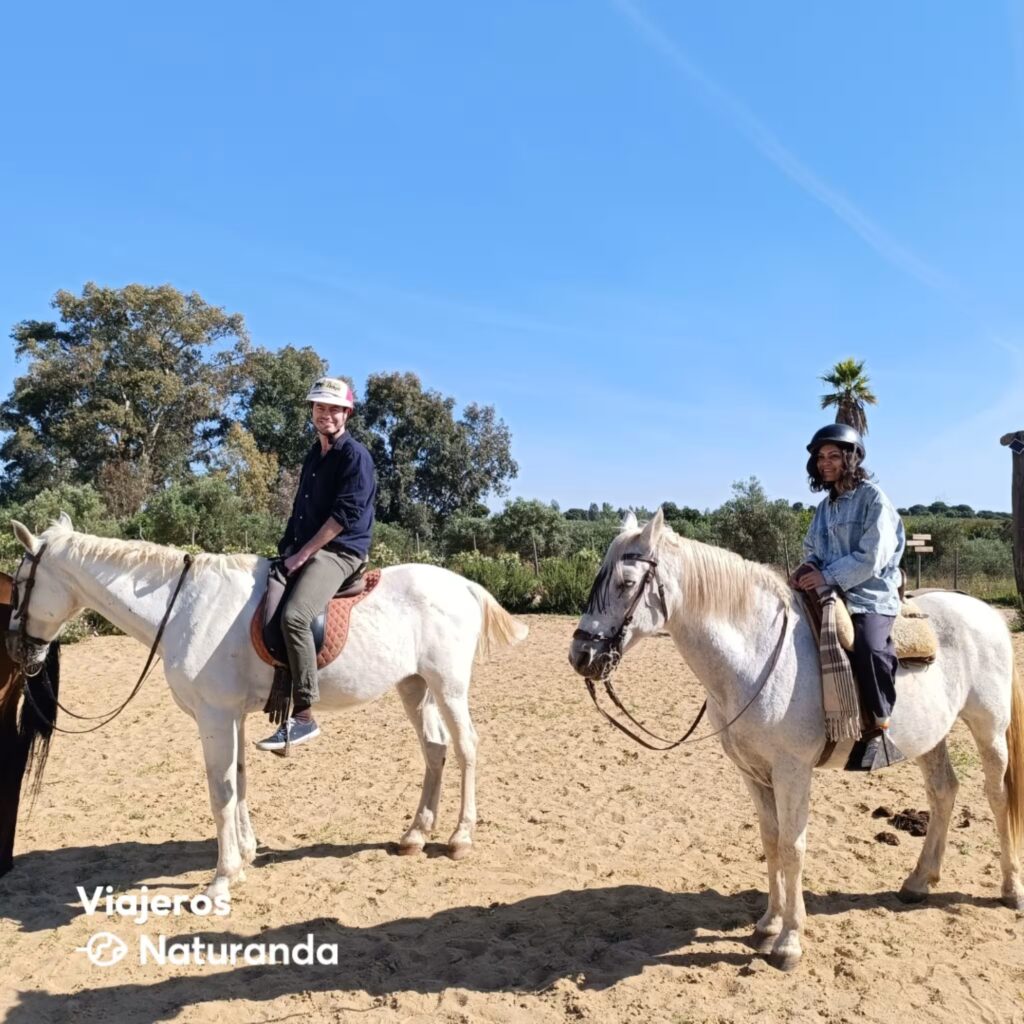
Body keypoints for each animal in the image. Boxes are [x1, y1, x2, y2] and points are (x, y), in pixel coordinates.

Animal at [4, 516, 524, 901]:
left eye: (21, 581)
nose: (16, 649)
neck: (184, 606)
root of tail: (463, 585)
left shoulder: (214, 716)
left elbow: (220, 791)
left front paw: (220, 880)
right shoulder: (231, 715)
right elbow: (239, 782)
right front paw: (244, 857)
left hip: (448, 685)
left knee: (466, 748)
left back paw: (460, 838)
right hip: (415, 687)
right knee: (435, 750)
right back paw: (415, 836)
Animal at [573, 509, 1019, 966]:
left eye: (626, 583)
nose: (581, 656)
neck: (757, 655)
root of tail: (983, 611)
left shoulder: (792, 771)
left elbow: (793, 845)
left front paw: (789, 941)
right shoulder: (752, 772)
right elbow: (771, 840)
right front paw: (768, 924)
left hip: (988, 727)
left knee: (997, 794)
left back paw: (1010, 889)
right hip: (930, 737)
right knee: (943, 791)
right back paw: (917, 882)